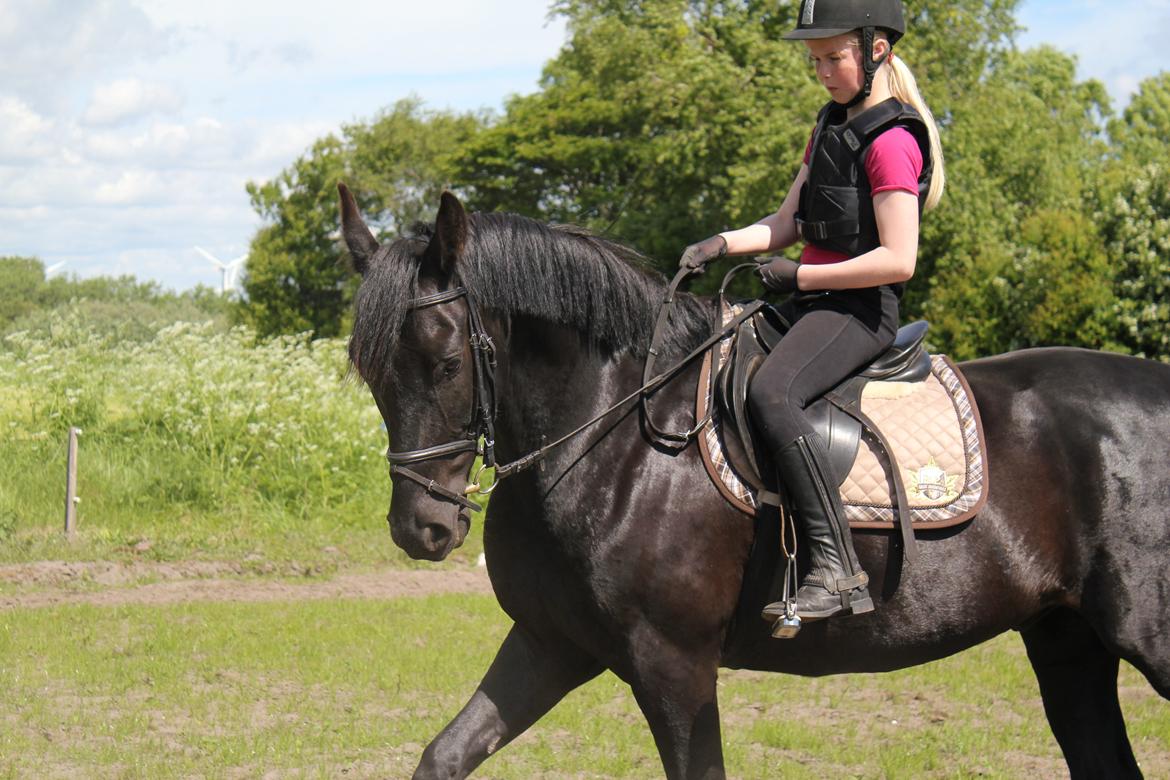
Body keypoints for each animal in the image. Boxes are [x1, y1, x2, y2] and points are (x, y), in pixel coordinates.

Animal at [339, 185, 1170, 776]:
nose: (422, 529)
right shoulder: (550, 643)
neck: (614, 442)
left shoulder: (673, 668)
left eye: (447, 363)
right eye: (368, 373)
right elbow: (444, 756)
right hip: (1067, 641)